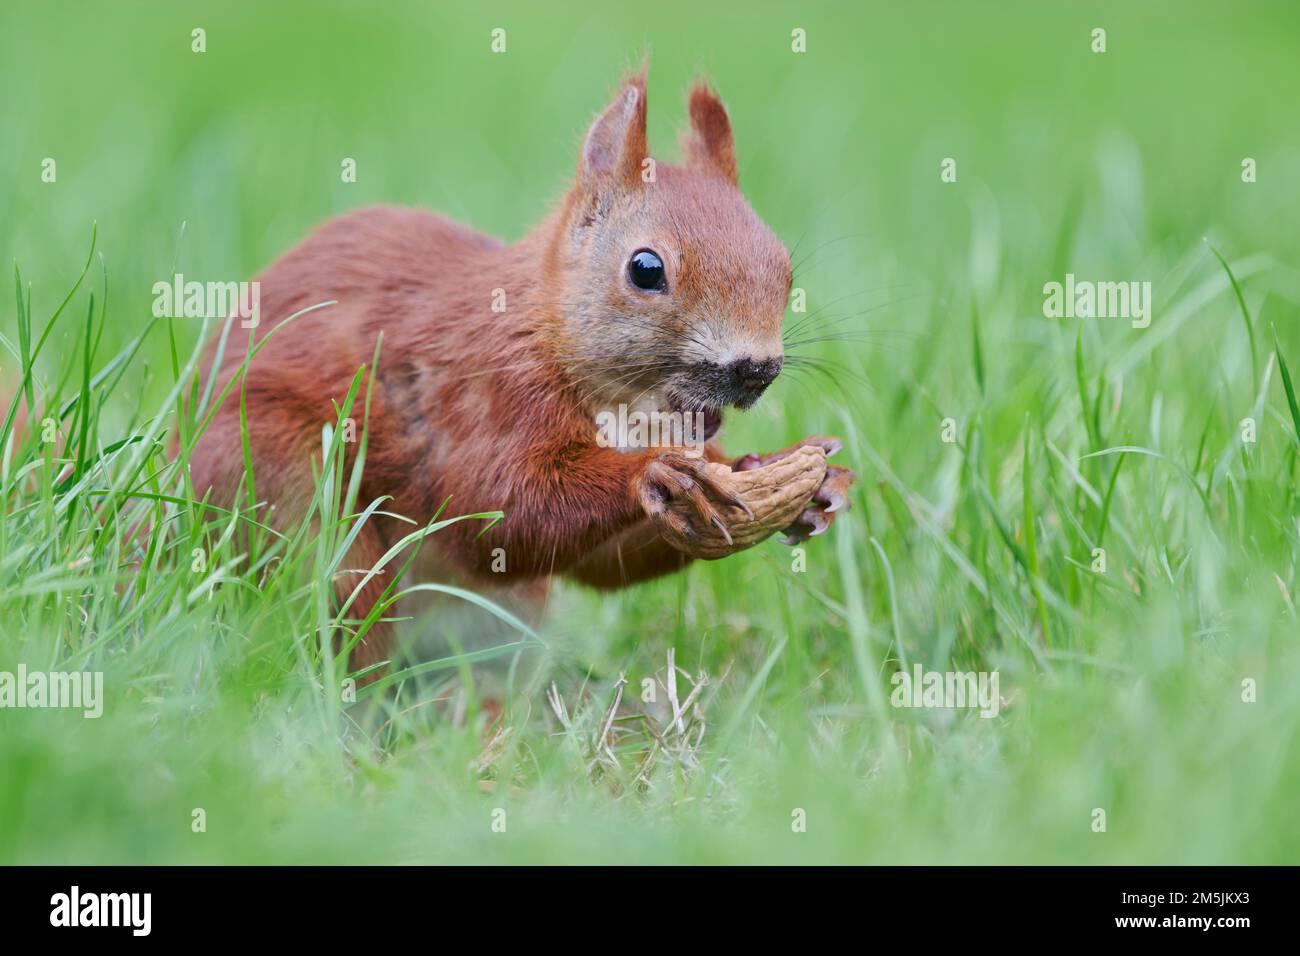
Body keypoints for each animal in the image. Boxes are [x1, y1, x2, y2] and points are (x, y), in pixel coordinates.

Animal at [189, 72, 852, 671]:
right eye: (645, 268)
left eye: (784, 265)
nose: (756, 369)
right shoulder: (482, 393)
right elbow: (494, 510)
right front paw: (655, 475)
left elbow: (602, 563)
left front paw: (784, 475)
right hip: (284, 491)